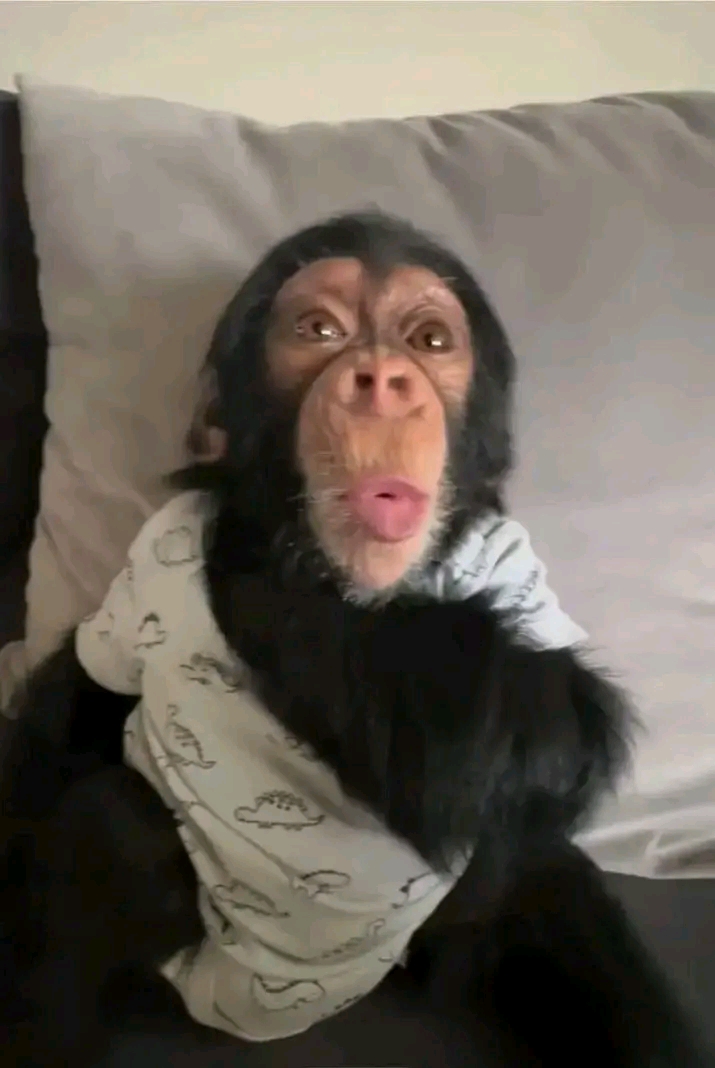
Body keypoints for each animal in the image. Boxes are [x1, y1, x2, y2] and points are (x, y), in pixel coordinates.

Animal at [0, 211, 708, 1067]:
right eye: (319, 330)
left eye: (429, 340)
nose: (379, 378)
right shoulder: (141, 569)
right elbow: (86, 693)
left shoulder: (513, 564)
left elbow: (553, 721)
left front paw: (255, 558)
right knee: (115, 832)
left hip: (448, 935)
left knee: (545, 873)